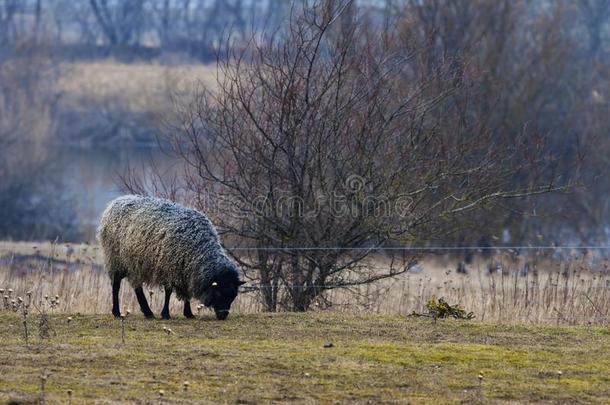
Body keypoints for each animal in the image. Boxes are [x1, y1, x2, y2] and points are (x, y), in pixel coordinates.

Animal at [97, 194, 242, 320]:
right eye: (219, 292)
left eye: (233, 295)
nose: (223, 315)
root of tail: (116, 201)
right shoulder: (169, 268)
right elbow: (168, 292)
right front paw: (165, 314)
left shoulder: (186, 270)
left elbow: (186, 293)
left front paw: (188, 313)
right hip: (115, 259)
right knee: (116, 285)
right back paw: (117, 312)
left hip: (134, 264)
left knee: (137, 287)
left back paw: (147, 312)